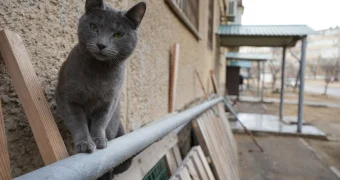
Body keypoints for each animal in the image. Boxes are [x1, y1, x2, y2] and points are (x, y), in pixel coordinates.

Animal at [54, 0, 146, 177]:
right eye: (93, 26)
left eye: (118, 34)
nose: (101, 44)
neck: (99, 72)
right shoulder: (67, 98)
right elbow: (78, 122)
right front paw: (85, 143)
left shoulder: (109, 101)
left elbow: (100, 122)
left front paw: (98, 140)